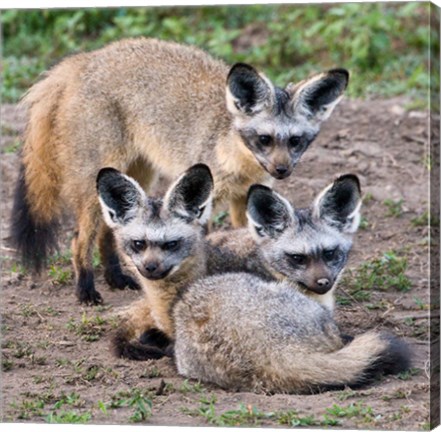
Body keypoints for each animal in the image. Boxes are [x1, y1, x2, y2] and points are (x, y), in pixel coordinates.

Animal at [8, 38, 348, 306]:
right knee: (79, 240)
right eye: (264, 139)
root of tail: (86, 58)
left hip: (138, 176)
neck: (238, 162)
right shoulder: (207, 199)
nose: (282, 171)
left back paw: (115, 277)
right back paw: (86, 290)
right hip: (98, 184)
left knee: (110, 230)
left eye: (295, 141)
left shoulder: (243, 197)